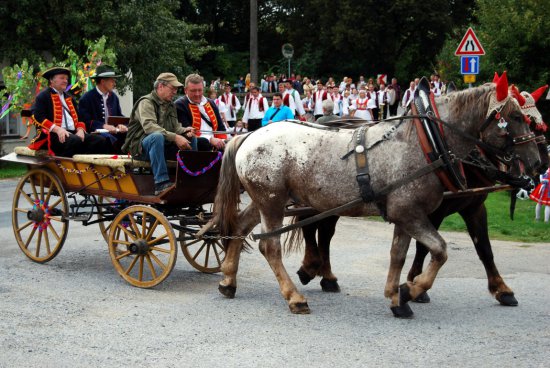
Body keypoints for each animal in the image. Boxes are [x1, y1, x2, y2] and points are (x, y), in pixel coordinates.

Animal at [212, 75, 544, 316]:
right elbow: (440, 250)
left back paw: (228, 279)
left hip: (265, 200)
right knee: (270, 247)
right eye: (515, 117)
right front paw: (413, 289)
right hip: (272, 201)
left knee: (240, 227)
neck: (423, 142)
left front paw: (397, 298)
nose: (538, 163)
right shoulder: (411, 213)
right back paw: (294, 296)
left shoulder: (406, 214)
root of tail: (249, 135)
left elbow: (399, 254)